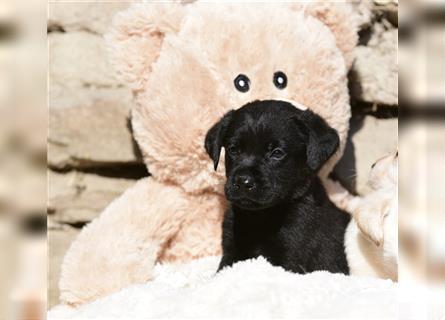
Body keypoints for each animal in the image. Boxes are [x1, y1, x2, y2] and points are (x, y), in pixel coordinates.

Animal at [205, 100, 350, 276]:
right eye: (233, 149)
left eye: (277, 153)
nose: (243, 181)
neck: (259, 218)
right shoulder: (231, 252)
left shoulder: (289, 258)